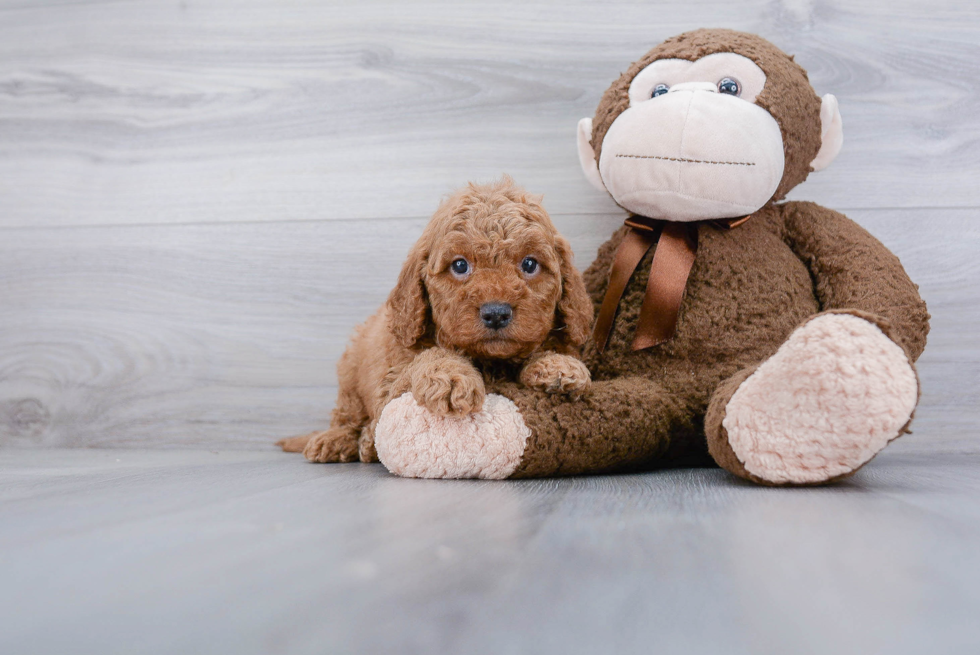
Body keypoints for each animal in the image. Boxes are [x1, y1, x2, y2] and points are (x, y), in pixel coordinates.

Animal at [280, 177, 592, 464]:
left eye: (529, 264)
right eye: (459, 265)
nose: (496, 313)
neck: (489, 361)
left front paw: (557, 365)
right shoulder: (390, 387)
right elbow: (431, 356)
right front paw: (451, 376)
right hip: (350, 373)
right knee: (347, 416)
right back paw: (339, 440)